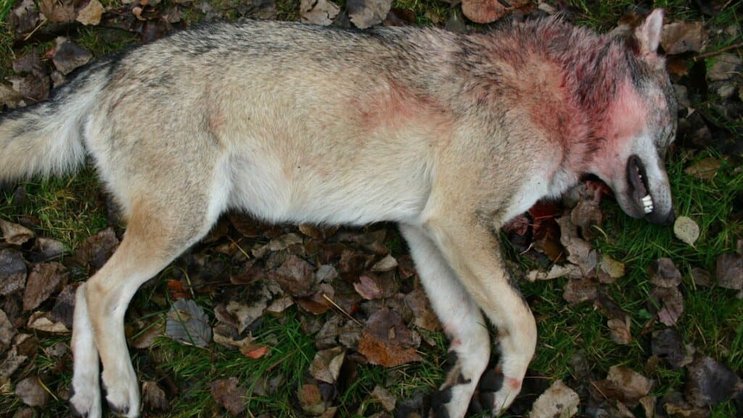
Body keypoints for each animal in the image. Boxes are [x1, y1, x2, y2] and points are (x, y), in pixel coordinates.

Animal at [0, 8, 676, 417]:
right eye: (674, 128)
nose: (669, 221)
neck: (556, 96)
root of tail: (113, 63)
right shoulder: (458, 223)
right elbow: (522, 326)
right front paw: (504, 391)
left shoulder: (425, 230)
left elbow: (477, 339)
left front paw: (462, 395)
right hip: (184, 221)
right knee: (102, 291)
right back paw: (120, 388)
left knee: (82, 292)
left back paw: (87, 394)